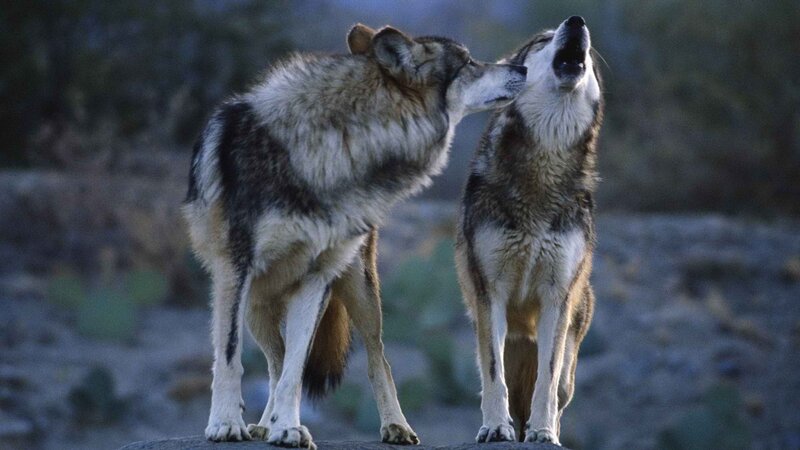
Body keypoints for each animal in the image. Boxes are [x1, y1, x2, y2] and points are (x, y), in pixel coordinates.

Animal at [183, 22, 527, 449]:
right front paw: (227, 423)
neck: (340, 144)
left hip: (359, 290)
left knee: (376, 358)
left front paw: (289, 427)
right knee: (273, 360)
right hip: (255, 304)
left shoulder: (315, 279)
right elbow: (231, 357)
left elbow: (296, 370)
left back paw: (395, 426)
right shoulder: (236, 268)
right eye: (467, 63)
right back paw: (262, 424)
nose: (523, 68)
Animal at [455, 16, 603, 445]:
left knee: (559, 389)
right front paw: (494, 427)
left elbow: (547, 379)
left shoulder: (558, 296)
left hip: (572, 349)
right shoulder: (490, 293)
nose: (576, 21)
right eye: (542, 40)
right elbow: (493, 374)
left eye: (590, 50)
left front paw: (543, 432)